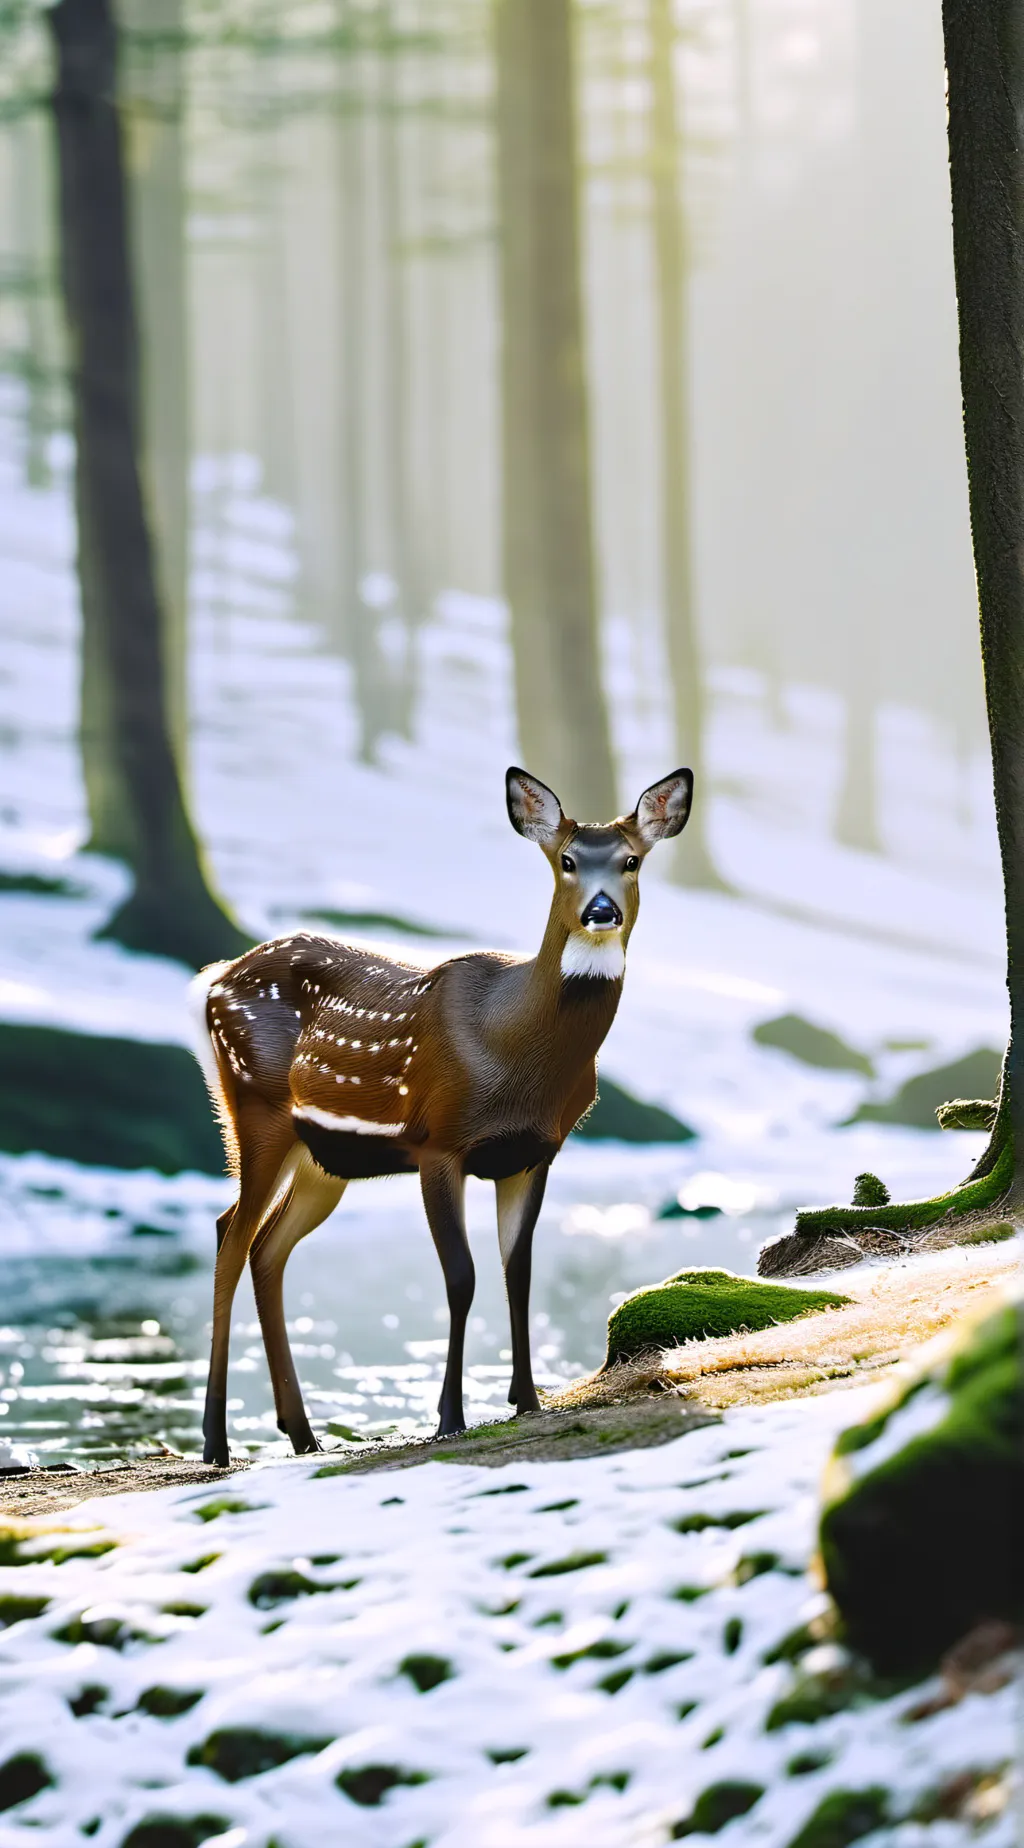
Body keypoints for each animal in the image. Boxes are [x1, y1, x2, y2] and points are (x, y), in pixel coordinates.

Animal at [188, 765, 692, 1466]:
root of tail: (209, 981)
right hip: (254, 1107)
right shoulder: (439, 1143)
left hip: (324, 1157)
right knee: (230, 1236)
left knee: (266, 1246)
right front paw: (450, 1417)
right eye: (565, 861)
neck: (513, 1053)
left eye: (631, 861)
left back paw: (303, 1433)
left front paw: (527, 1401)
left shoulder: (534, 1154)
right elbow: (462, 1276)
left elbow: (518, 1271)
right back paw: (216, 1442)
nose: (601, 910)